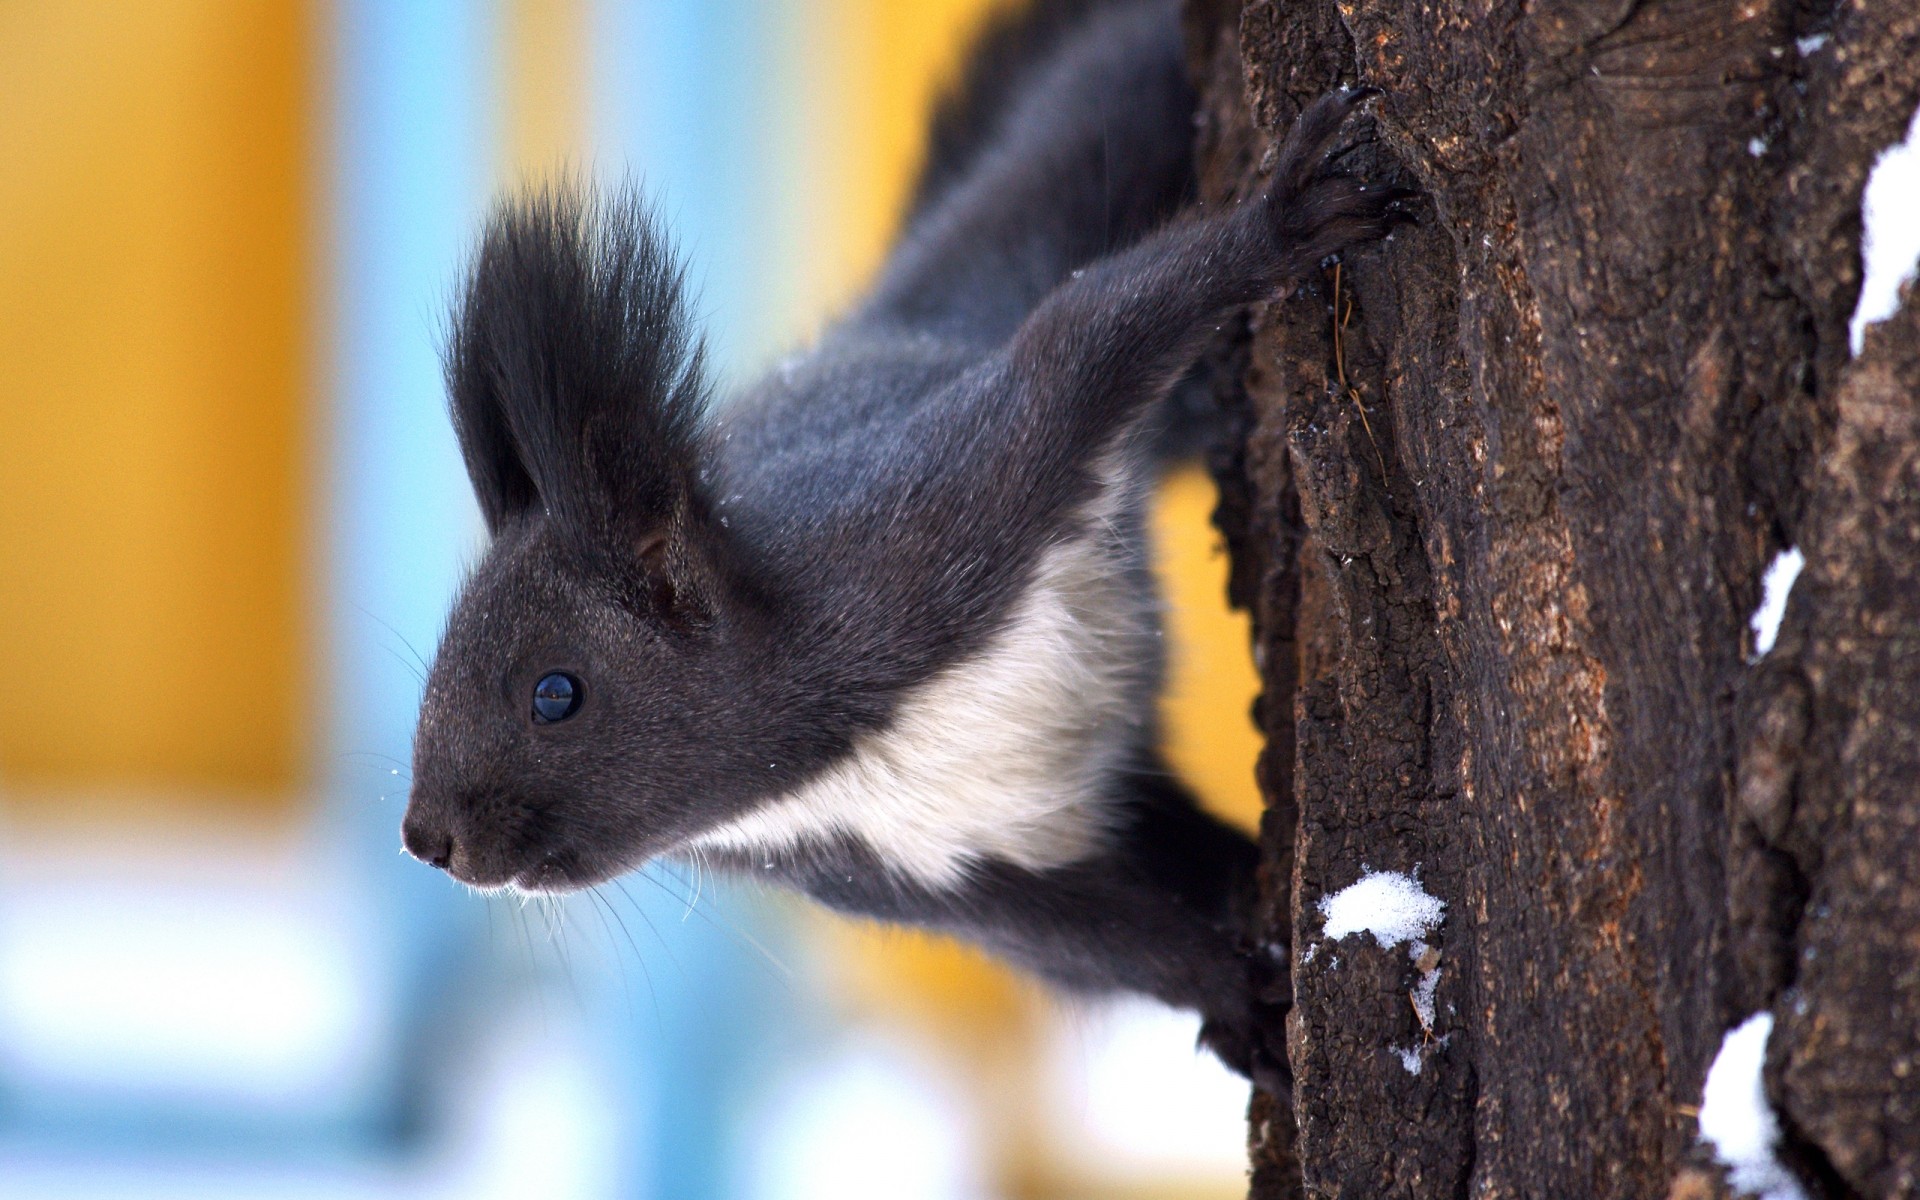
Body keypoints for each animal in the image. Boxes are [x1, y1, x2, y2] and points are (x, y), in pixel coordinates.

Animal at [401, 0, 1413, 1082]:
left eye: (557, 693)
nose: (427, 840)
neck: (826, 755)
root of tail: (900, 312)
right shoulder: (910, 878)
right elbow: (1095, 942)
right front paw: (1237, 995)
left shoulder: (939, 512)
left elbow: (1082, 337)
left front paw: (1284, 221)